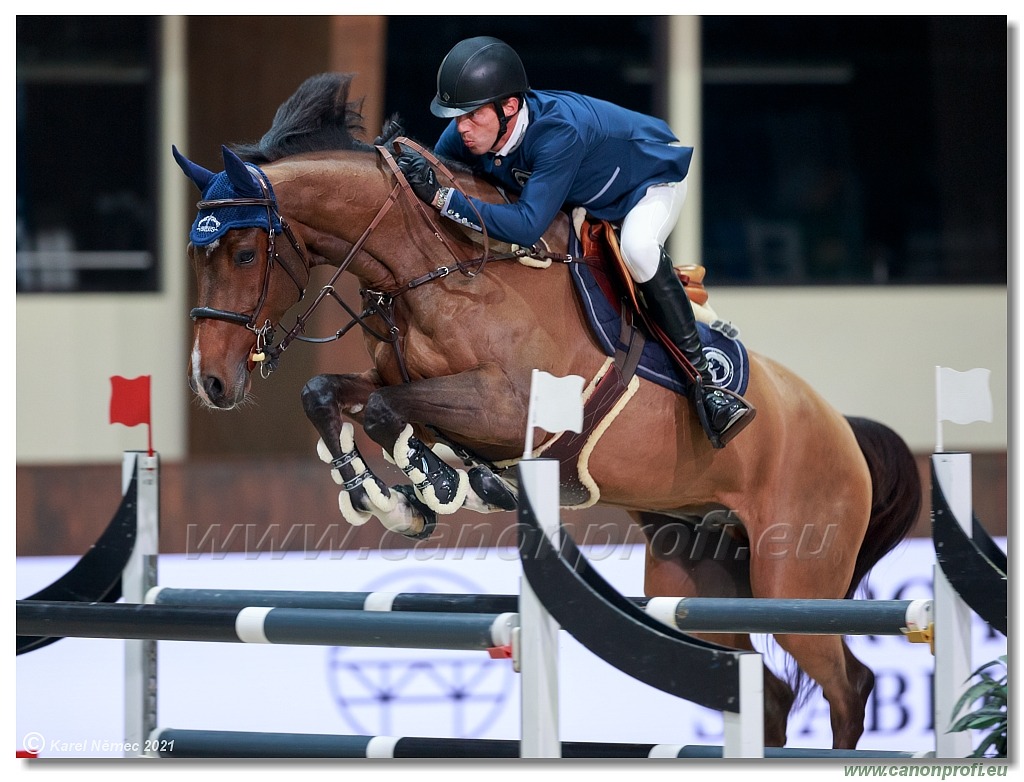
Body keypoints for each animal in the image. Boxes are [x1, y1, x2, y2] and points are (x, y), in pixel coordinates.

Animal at [178, 74, 929, 753]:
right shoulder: (405, 382)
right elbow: (328, 394)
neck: (442, 269)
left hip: (794, 579)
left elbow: (394, 411)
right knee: (760, 688)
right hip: (698, 578)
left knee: (849, 685)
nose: (211, 381)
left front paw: (438, 481)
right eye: (197, 253)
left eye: (243, 252)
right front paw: (391, 497)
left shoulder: (511, 409)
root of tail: (842, 430)